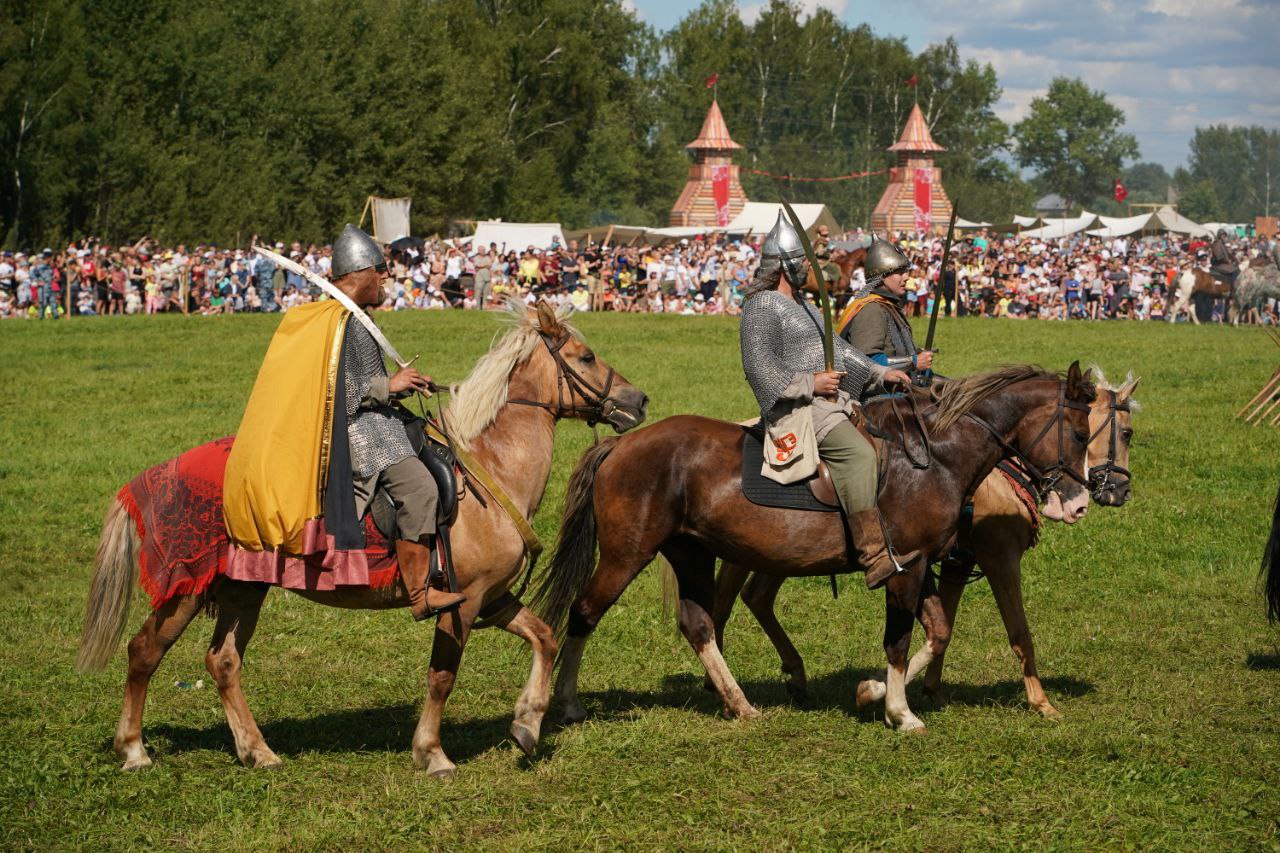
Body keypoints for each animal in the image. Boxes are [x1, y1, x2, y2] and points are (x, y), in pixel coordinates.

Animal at [74, 300, 645, 778]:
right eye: (586, 356)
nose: (637, 399)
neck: (489, 467)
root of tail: (155, 477)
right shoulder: (460, 601)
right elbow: (442, 676)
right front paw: (432, 753)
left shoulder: (492, 596)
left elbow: (544, 637)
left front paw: (527, 723)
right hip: (188, 587)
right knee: (145, 651)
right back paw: (135, 750)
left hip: (243, 589)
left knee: (223, 662)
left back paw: (257, 751)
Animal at [535, 361, 1095, 732]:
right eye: (1080, 433)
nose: (1079, 501)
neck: (934, 456)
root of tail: (621, 444)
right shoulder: (905, 566)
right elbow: (898, 641)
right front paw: (900, 711)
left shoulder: (923, 568)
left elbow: (937, 632)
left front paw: (872, 692)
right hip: (627, 554)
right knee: (584, 612)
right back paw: (569, 703)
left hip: (691, 552)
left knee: (699, 624)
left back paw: (739, 703)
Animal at [711, 371, 1141, 717]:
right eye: (1124, 432)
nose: (1116, 492)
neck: (950, 457)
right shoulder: (997, 558)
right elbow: (1018, 631)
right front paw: (1041, 702)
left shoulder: (952, 563)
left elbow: (942, 626)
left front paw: (921, 690)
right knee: (726, 601)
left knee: (755, 598)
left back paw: (787, 677)